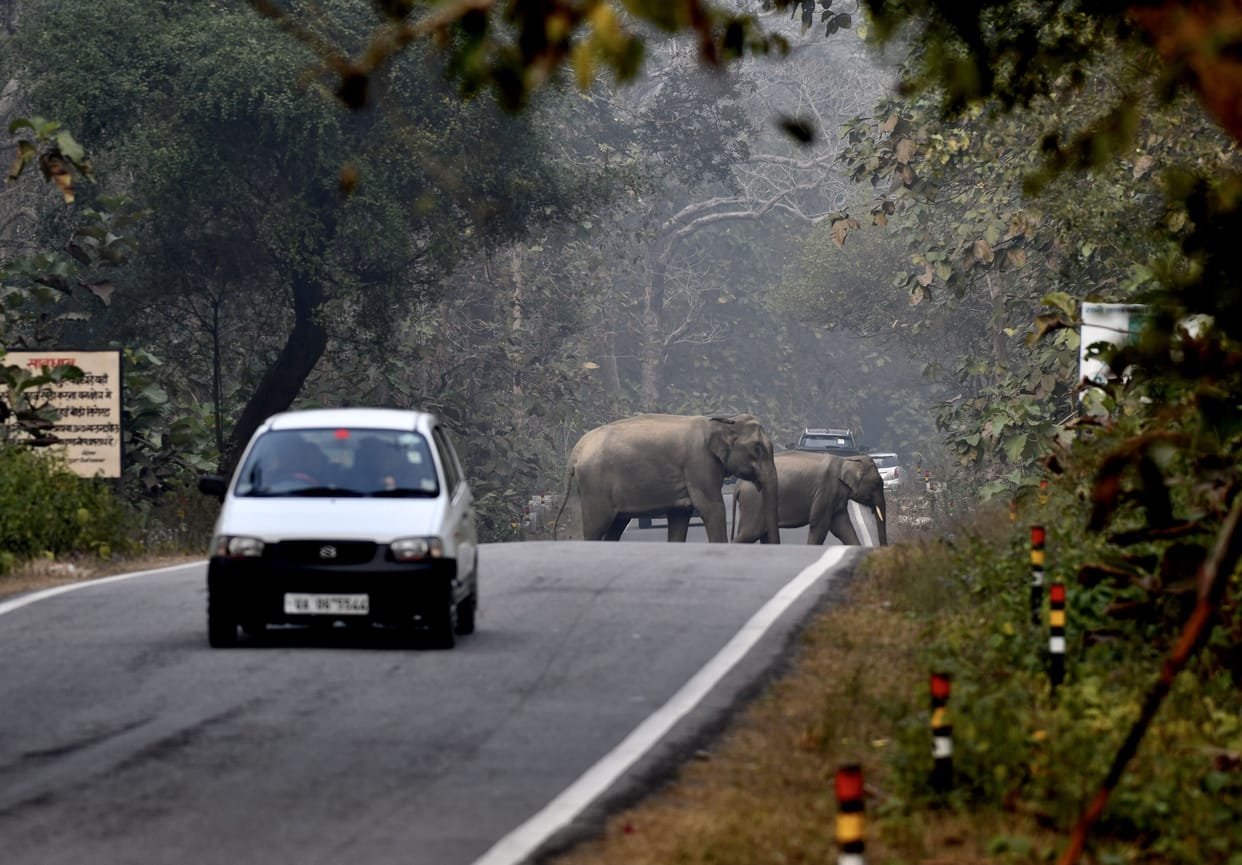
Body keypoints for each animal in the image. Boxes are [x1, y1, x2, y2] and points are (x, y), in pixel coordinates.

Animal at [554, 413, 781, 543]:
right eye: (757, 448)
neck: (722, 421)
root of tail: (577, 450)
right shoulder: (699, 464)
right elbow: (712, 508)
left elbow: (680, 515)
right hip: (594, 485)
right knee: (596, 528)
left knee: (616, 527)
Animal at [732, 451, 887, 545]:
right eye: (877, 484)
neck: (848, 460)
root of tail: (738, 484)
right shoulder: (826, 490)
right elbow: (819, 524)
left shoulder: (836, 496)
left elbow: (841, 525)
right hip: (754, 502)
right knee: (751, 533)